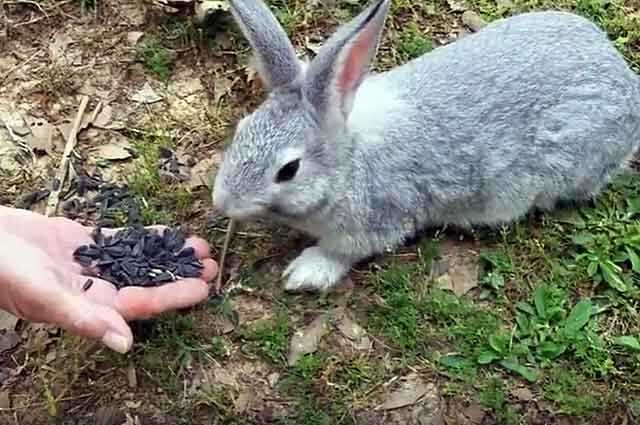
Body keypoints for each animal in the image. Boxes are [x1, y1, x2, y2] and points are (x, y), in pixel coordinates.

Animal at [214, 0, 640, 292]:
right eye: (241, 129)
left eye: (289, 170)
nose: (222, 202)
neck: (350, 162)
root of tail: (626, 82)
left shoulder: (375, 221)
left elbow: (341, 251)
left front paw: (305, 272)